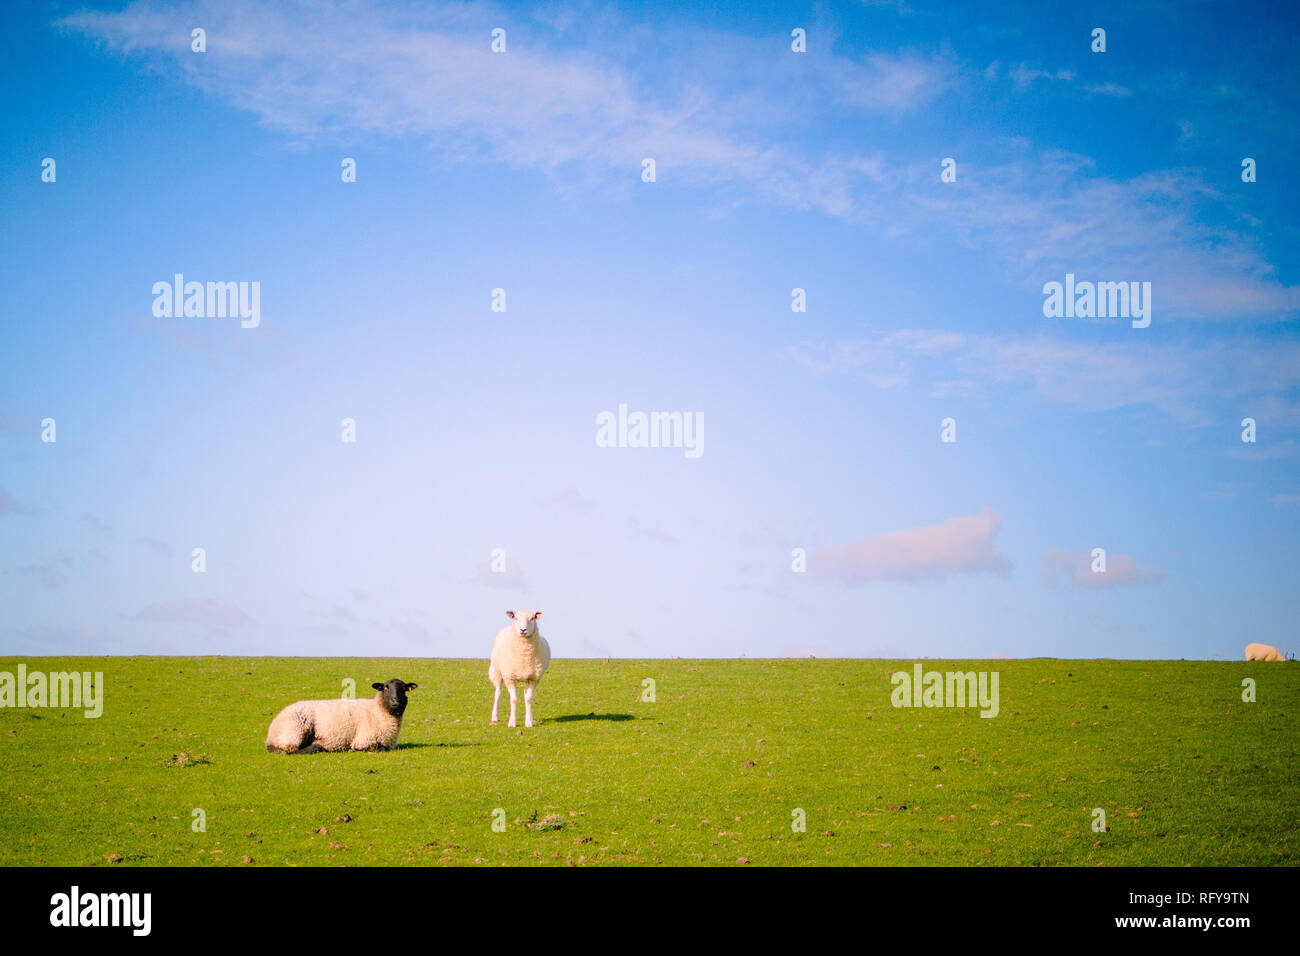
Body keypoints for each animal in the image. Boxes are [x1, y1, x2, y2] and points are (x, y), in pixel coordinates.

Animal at [266, 676, 418, 749]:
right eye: (386, 687)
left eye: (404, 688)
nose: (395, 699)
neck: (378, 711)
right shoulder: (363, 741)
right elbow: (378, 748)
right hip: (295, 730)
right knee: (291, 748)